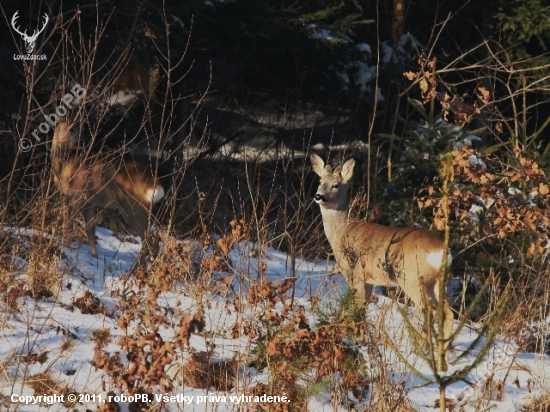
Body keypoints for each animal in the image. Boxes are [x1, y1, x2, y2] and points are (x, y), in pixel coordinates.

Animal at [52, 119, 165, 258]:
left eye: (82, 129)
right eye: (71, 128)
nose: (82, 141)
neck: (64, 165)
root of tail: (156, 185)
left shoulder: (76, 194)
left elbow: (68, 221)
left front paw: (65, 243)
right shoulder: (90, 201)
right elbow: (90, 229)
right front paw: (95, 256)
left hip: (133, 208)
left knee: (150, 241)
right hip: (145, 210)